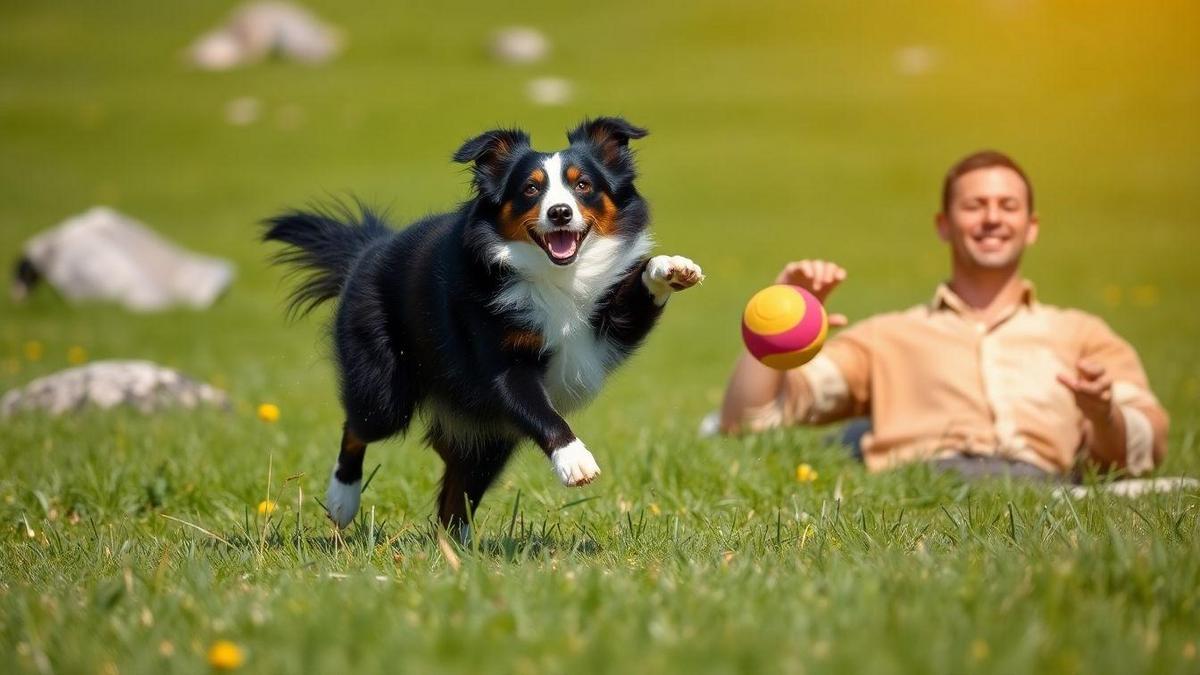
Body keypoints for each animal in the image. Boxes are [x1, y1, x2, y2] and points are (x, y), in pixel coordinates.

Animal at [265, 118, 700, 533]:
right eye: (530, 189)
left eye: (583, 185)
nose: (559, 212)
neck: (556, 276)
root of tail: (369, 248)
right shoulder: (501, 364)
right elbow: (541, 411)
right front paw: (575, 460)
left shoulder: (605, 328)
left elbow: (634, 302)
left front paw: (673, 268)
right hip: (385, 390)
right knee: (358, 428)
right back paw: (342, 501)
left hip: (488, 437)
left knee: (453, 491)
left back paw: (456, 547)